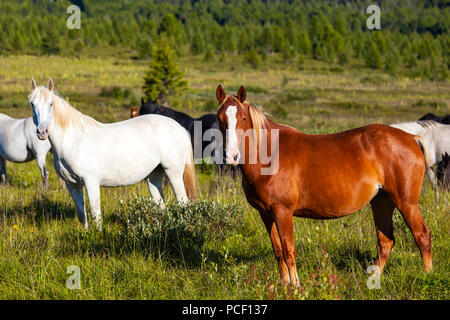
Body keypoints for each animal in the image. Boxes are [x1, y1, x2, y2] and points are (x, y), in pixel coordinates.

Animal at [28, 80, 196, 230]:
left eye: (51, 104)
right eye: (32, 104)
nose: (42, 132)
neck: (73, 140)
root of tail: (179, 127)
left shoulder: (91, 182)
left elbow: (95, 213)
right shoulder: (72, 185)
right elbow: (82, 215)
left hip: (174, 173)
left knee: (182, 202)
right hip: (154, 176)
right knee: (161, 205)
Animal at [216, 84, 434, 284]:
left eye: (243, 119)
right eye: (220, 119)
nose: (231, 156)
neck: (269, 154)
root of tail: (411, 138)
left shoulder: (282, 211)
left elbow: (288, 250)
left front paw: (295, 286)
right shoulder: (265, 213)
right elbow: (277, 250)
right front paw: (284, 285)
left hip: (406, 202)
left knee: (422, 235)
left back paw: (427, 276)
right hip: (382, 202)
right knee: (386, 241)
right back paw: (373, 278)